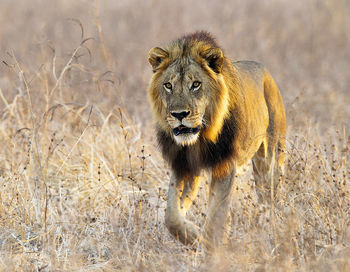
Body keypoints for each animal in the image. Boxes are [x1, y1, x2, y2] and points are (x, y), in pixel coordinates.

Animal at [146, 30, 286, 248]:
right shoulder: (183, 165)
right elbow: (171, 215)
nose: (179, 114)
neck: (200, 138)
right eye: (168, 85)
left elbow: (216, 216)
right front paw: (193, 236)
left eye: (196, 84)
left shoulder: (225, 164)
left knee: (268, 195)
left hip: (270, 158)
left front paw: (213, 248)